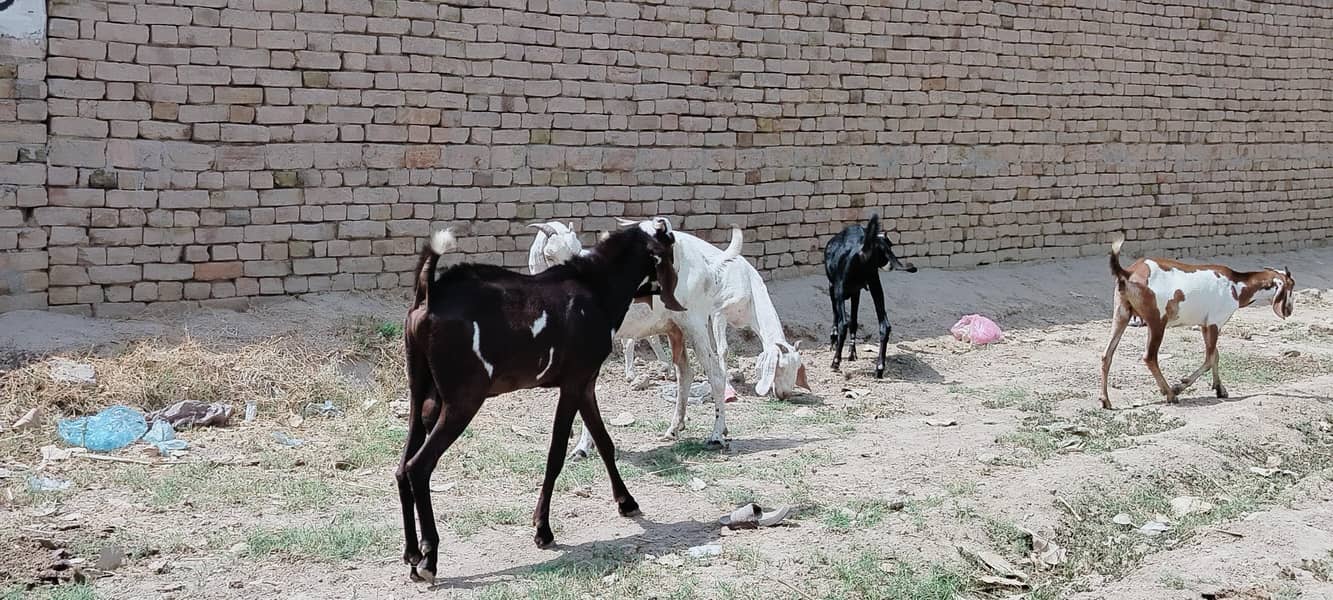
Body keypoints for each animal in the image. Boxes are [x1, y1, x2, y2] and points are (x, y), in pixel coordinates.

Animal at [398, 219, 684, 584]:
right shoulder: (573, 383)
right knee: (419, 466)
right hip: (462, 400)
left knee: (402, 468)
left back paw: (411, 554)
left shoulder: (586, 383)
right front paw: (543, 530)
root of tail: (430, 295)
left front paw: (626, 502)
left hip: (421, 392)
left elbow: (604, 442)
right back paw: (429, 558)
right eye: (669, 243)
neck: (595, 285)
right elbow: (556, 453)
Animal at [824, 213, 917, 378]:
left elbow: (838, 318)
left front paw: (834, 342)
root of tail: (862, 248)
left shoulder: (834, 288)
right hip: (876, 286)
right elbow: (854, 322)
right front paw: (852, 353)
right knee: (884, 326)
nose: (890, 264)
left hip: (840, 291)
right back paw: (879, 367)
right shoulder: (857, 291)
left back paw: (836, 362)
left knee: (844, 323)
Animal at [1100, 236, 1296, 409]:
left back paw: (1105, 400)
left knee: (1107, 354)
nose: (1289, 310)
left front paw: (1220, 389)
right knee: (1149, 357)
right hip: (1157, 321)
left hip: (1121, 314)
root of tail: (1128, 272)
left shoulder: (1205, 325)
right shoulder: (1215, 323)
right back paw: (1169, 393)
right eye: (1291, 285)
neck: (1236, 286)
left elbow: (1215, 355)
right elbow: (1209, 359)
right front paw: (1180, 386)